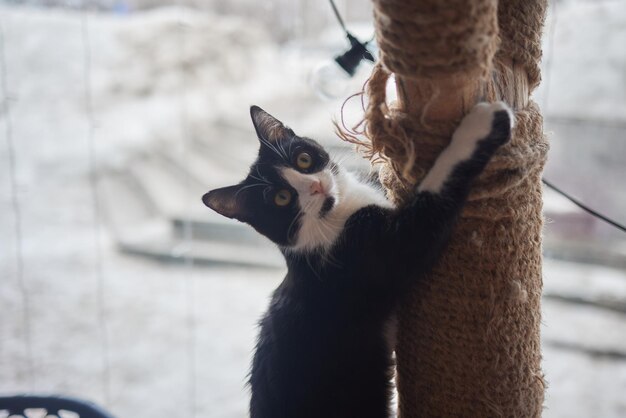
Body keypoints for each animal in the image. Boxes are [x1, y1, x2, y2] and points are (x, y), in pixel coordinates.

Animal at [202, 102, 510, 418]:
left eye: (303, 159)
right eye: (282, 198)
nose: (316, 186)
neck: (338, 216)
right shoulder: (368, 253)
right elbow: (429, 205)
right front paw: (479, 128)